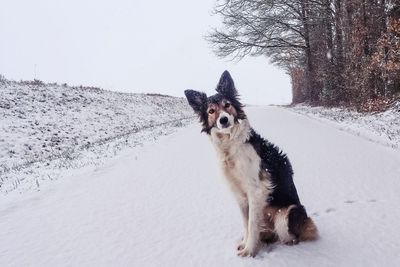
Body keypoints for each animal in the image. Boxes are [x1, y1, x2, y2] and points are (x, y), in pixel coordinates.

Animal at [184, 70, 318, 258]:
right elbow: (246, 223)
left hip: (285, 215)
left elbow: (252, 225)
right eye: (211, 111)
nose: (223, 120)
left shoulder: (255, 190)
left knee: (290, 237)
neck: (230, 146)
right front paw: (245, 244)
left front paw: (249, 252)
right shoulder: (239, 195)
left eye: (227, 105)